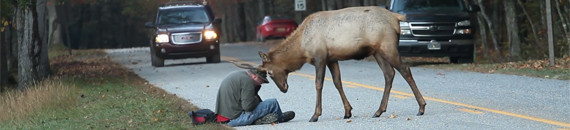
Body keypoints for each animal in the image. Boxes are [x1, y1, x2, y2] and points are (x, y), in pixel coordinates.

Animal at [231, 6, 422, 122]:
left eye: (269, 72)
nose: (283, 89)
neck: (302, 48)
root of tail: (396, 18)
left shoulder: (320, 57)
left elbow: (318, 84)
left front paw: (315, 114)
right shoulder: (332, 58)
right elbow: (338, 82)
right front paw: (347, 111)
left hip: (388, 46)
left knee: (405, 69)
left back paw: (421, 107)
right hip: (377, 52)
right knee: (389, 74)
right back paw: (379, 110)